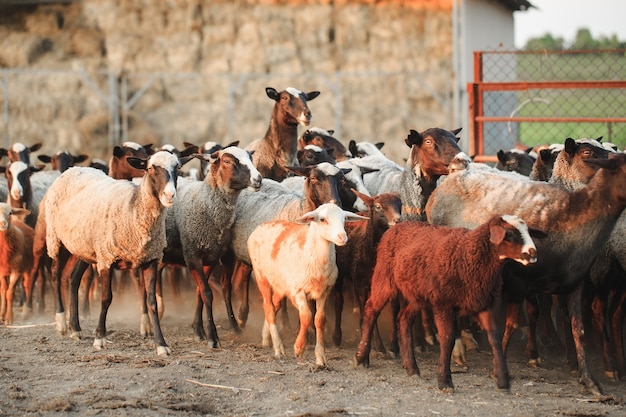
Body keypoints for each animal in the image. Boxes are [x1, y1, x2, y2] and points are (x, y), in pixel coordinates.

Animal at [43, 150, 180, 354]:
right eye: (150, 168)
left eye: (177, 168)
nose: (170, 194)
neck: (133, 207)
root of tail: (73, 168)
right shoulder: (107, 260)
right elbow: (106, 299)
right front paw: (100, 338)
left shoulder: (151, 259)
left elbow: (152, 303)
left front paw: (161, 344)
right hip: (56, 239)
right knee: (55, 275)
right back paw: (61, 322)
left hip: (86, 247)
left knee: (73, 279)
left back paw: (75, 328)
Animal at [247, 203, 368, 366]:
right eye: (322, 219)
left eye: (344, 219)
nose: (342, 237)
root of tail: (262, 225)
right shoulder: (297, 291)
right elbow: (306, 316)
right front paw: (299, 348)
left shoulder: (324, 291)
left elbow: (319, 320)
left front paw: (320, 357)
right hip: (261, 276)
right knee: (268, 307)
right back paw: (278, 347)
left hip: (281, 284)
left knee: (274, 305)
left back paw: (266, 338)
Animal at [354, 213, 540, 392]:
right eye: (509, 234)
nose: (533, 253)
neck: (469, 254)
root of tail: (395, 227)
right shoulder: (443, 303)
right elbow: (447, 339)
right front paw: (445, 381)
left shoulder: (482, 302)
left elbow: (494, 337)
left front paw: (503, 380)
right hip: (385, 278)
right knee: (371, 310)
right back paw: (362, 357)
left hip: (417, 294)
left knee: (404, 318)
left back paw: (412, 368)